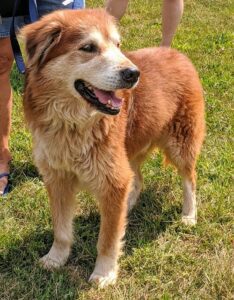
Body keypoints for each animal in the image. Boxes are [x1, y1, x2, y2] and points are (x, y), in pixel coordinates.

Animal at [21, 8, 206, 288]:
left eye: (118, 46)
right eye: (88, 48)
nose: (133, 74)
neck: (72, 125)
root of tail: (175, 53)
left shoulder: (112, 179)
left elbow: (107, 239)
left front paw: (105, 273)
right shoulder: (58, 177)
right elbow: (61, 228)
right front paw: (56, 258)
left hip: (180, 144)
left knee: (189, 180)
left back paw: (189, 215)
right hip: (128, 151)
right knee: (137, 179)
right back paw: (126, 208)